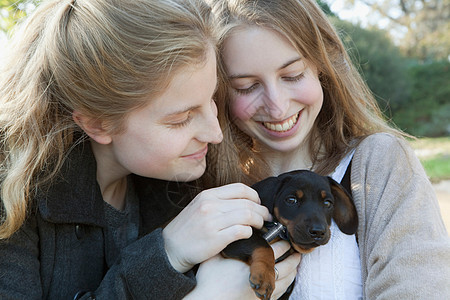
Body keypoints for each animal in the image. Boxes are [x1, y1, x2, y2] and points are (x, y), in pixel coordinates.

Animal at [221, 170, 358, 298]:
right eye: (291, 200)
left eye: (327, 203)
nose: (318, 232)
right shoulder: (234, 238)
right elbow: (263, 245)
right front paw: (265, 276)